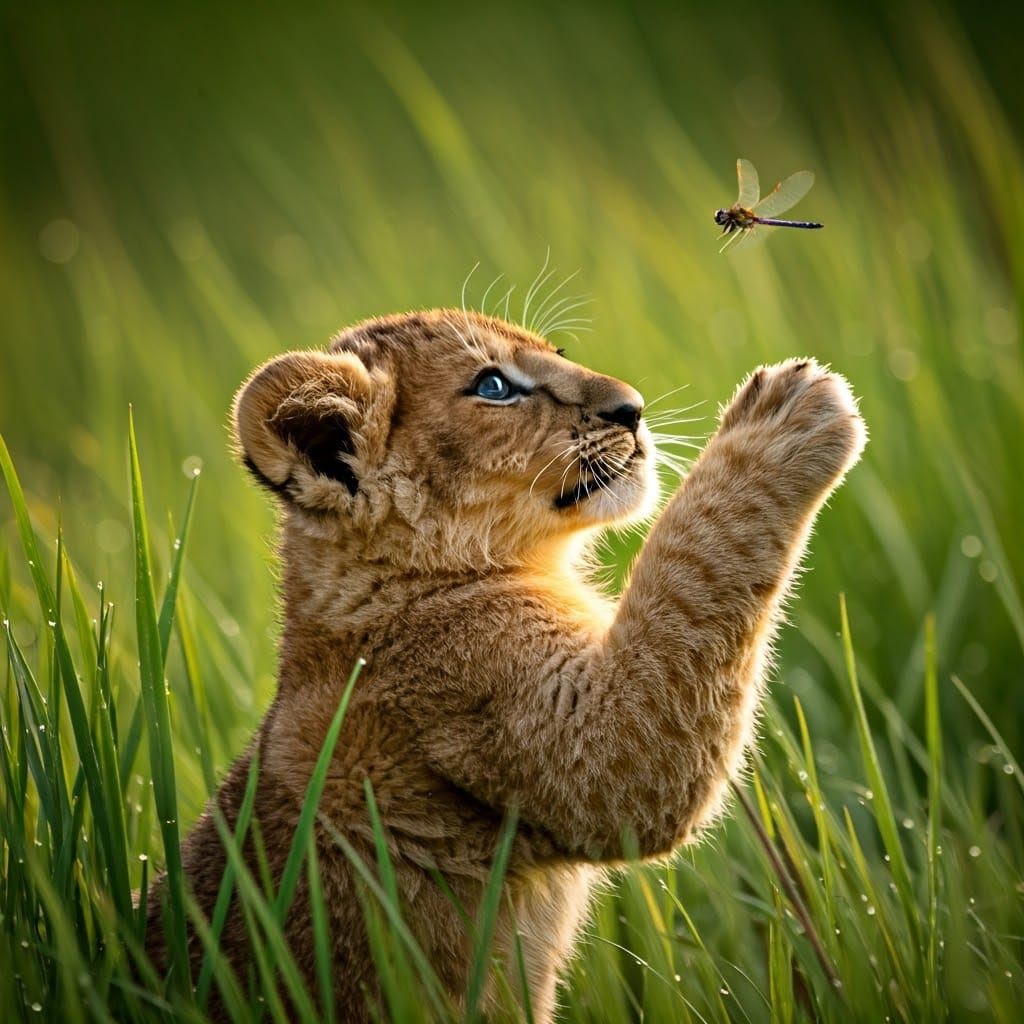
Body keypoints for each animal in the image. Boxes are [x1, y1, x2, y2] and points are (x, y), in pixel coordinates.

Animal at [144, 308, 866, 1022]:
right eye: (494, 386)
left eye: (557, 352)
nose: (632, 408)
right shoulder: (580, 743)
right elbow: (694, 574)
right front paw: (786, 415)